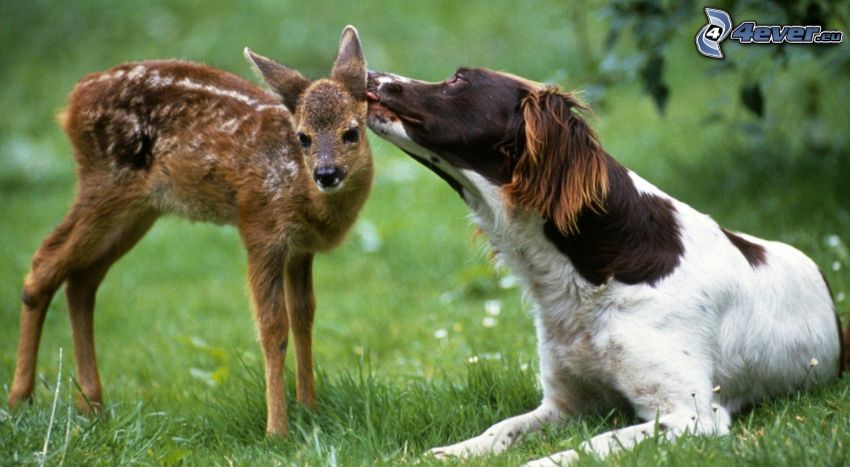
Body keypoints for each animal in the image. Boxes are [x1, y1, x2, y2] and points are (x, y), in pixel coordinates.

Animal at [6, 26, 372, 438]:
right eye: (304, 137)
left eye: (352, 132)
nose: (326, 173)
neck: (300, 189)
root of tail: (72, 102)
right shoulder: (260, 228)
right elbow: (273, 328)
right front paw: (277, 430)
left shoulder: (300, 248)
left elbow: (304, 317)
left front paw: (309, 409)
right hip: (105, 184)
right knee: (44, 263)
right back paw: (20, 399)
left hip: (139, 210)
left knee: (81, 280)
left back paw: (92, 406)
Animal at [366, 67, 848, 466]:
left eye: (458, 80)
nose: (369, 73)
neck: (590, 274)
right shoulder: (565, 404)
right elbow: (501, 429)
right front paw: (449, 451)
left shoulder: (691, 414)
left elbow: (588, 445)